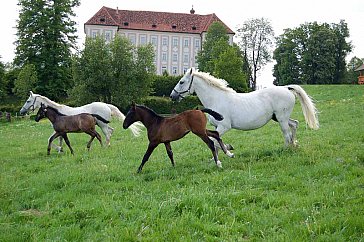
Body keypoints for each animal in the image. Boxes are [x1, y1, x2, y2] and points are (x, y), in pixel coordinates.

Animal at [170, 67, 318, 156]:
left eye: (182, 82)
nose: (172, 96)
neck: (216, 99)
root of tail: (286, 88)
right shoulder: (217, 127)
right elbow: (216, 141)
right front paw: (217, 157)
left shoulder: (224, 126)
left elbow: (214, 141)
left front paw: (229, 150)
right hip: (279, 117)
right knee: (294, 124)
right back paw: (294, 145)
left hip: (281, 118)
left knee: (286, 133)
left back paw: (286, 149)